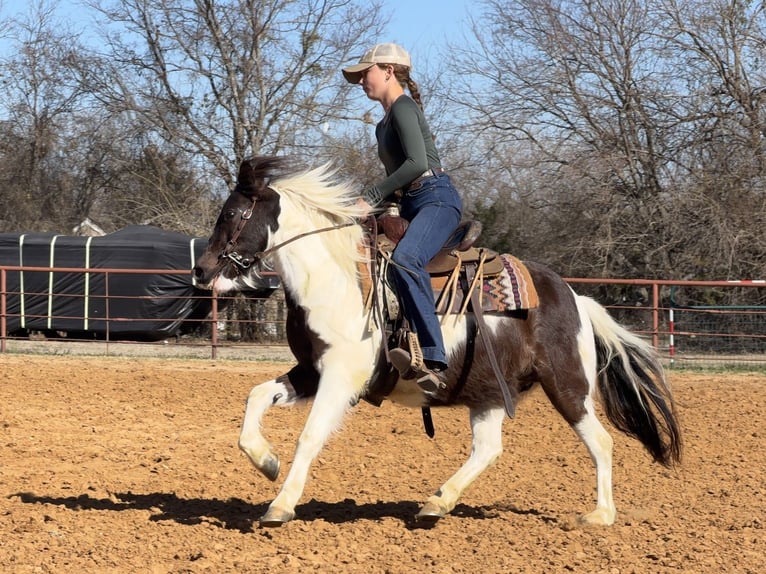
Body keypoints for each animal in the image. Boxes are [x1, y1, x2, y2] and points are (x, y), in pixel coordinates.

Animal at [192, 156, 682, 528]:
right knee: (488, 449)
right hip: (488, 393)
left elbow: (310, 436)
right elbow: (256, 396)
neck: (337, 278)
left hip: (568, 386)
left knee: (600, 442)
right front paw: (266, 462)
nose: (202, 269)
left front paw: (280, 505)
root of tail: (576, 298)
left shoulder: (341, 377)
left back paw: (599, 515)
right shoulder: (312, 370)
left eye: (231, 214)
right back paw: (437, 502)